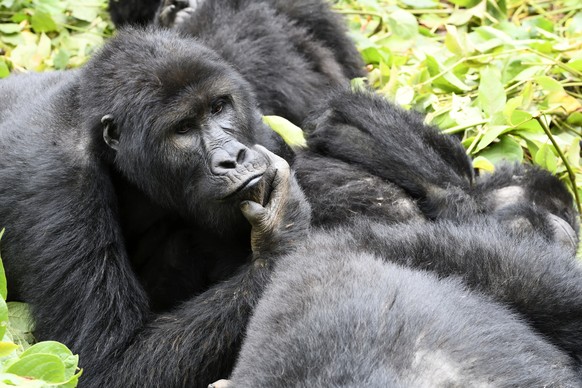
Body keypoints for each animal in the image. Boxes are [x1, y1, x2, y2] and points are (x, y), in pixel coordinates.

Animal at [0, 28, 580, 388]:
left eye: (218, 108)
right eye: (182, 130)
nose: (232, 156)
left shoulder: (256, 121)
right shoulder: (56, 186)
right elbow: (104, 362)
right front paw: (281, 239)